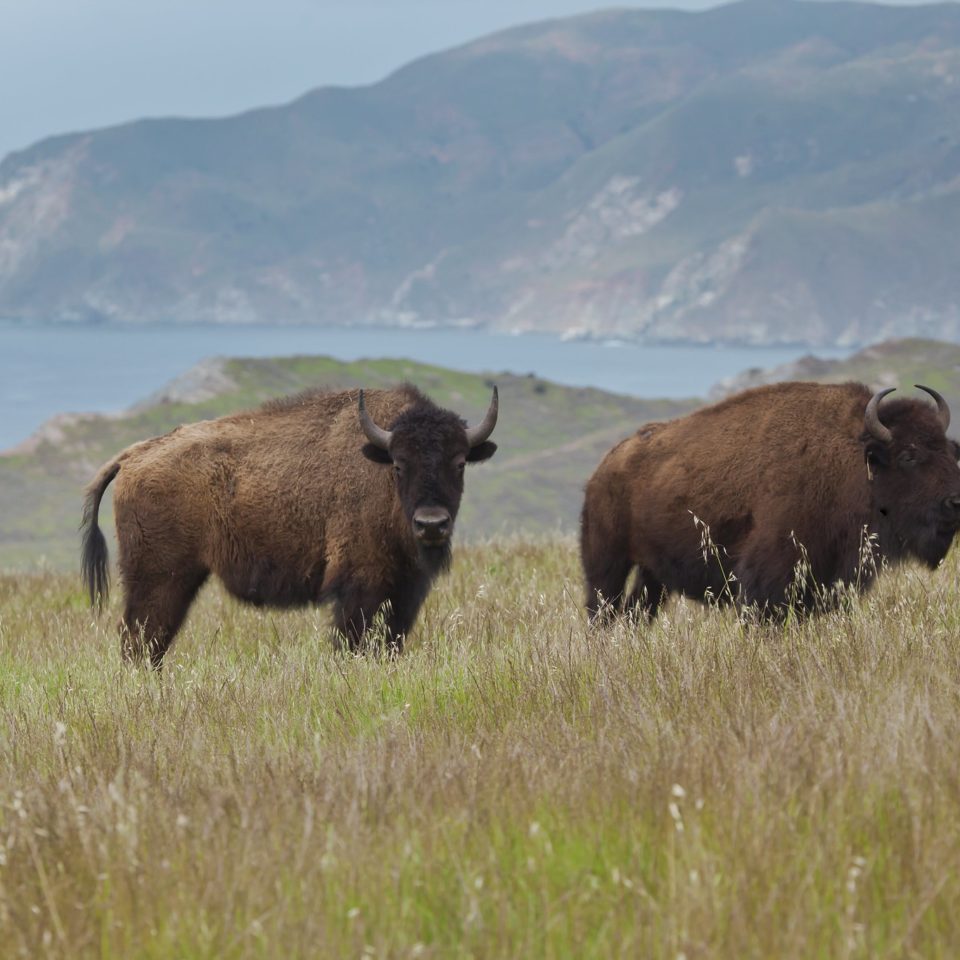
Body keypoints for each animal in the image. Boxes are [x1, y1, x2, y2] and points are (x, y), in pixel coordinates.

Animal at [79, 382, 498, 668]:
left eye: (460, 463)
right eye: (399, 464)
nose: (432, 524)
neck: (377, 464)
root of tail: (133, 457)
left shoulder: (405, 591)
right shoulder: (360, 586)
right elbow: (354, 639)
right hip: (160, 578)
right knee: (140, 638)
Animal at [580, 382, 960, 624]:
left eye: (950, 451)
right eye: (909, 455)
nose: (955, 501)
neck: (853, 458)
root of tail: (604, 469)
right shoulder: (768, 578)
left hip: (653, 575)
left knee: (636, 612)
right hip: (607, 563)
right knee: (602, 609)